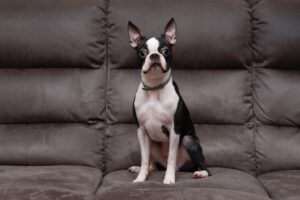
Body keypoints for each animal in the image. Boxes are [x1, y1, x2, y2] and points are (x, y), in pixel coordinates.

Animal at [127, 18, 210, 184]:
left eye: (165, 51)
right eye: (142, 53)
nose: (154, 55)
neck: (154, 88)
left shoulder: (174, 129)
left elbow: (171, 157)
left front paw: (169, 179)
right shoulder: (142, 131)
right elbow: (144, 159)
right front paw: (140, 178)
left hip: (189, 141)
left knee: (203, 166)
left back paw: (200, 173)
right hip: (152, 143)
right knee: (153, 164)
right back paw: (140, 169)